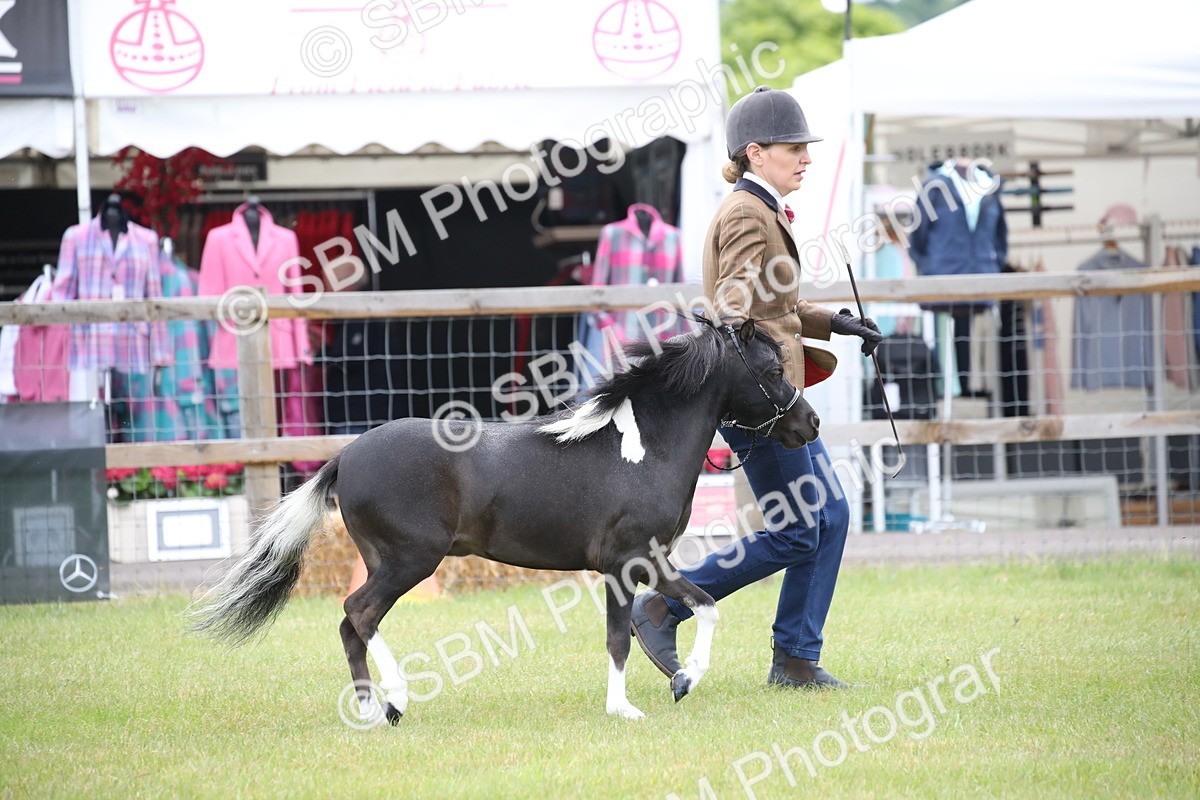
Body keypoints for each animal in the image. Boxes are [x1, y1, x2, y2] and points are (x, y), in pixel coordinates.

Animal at [188, 316, 821, 721]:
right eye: (771, 368)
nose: (809, 423)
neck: (645, 449)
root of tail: (345, 456)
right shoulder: (626, 560)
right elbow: (629, 634)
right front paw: (633, 705)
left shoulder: (648, 560)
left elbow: (696, 609)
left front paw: (678, 682)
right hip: (407, 561)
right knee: (358, 613)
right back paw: (396, 701)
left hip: (386, 562)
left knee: (350, 625)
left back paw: (370, 711)